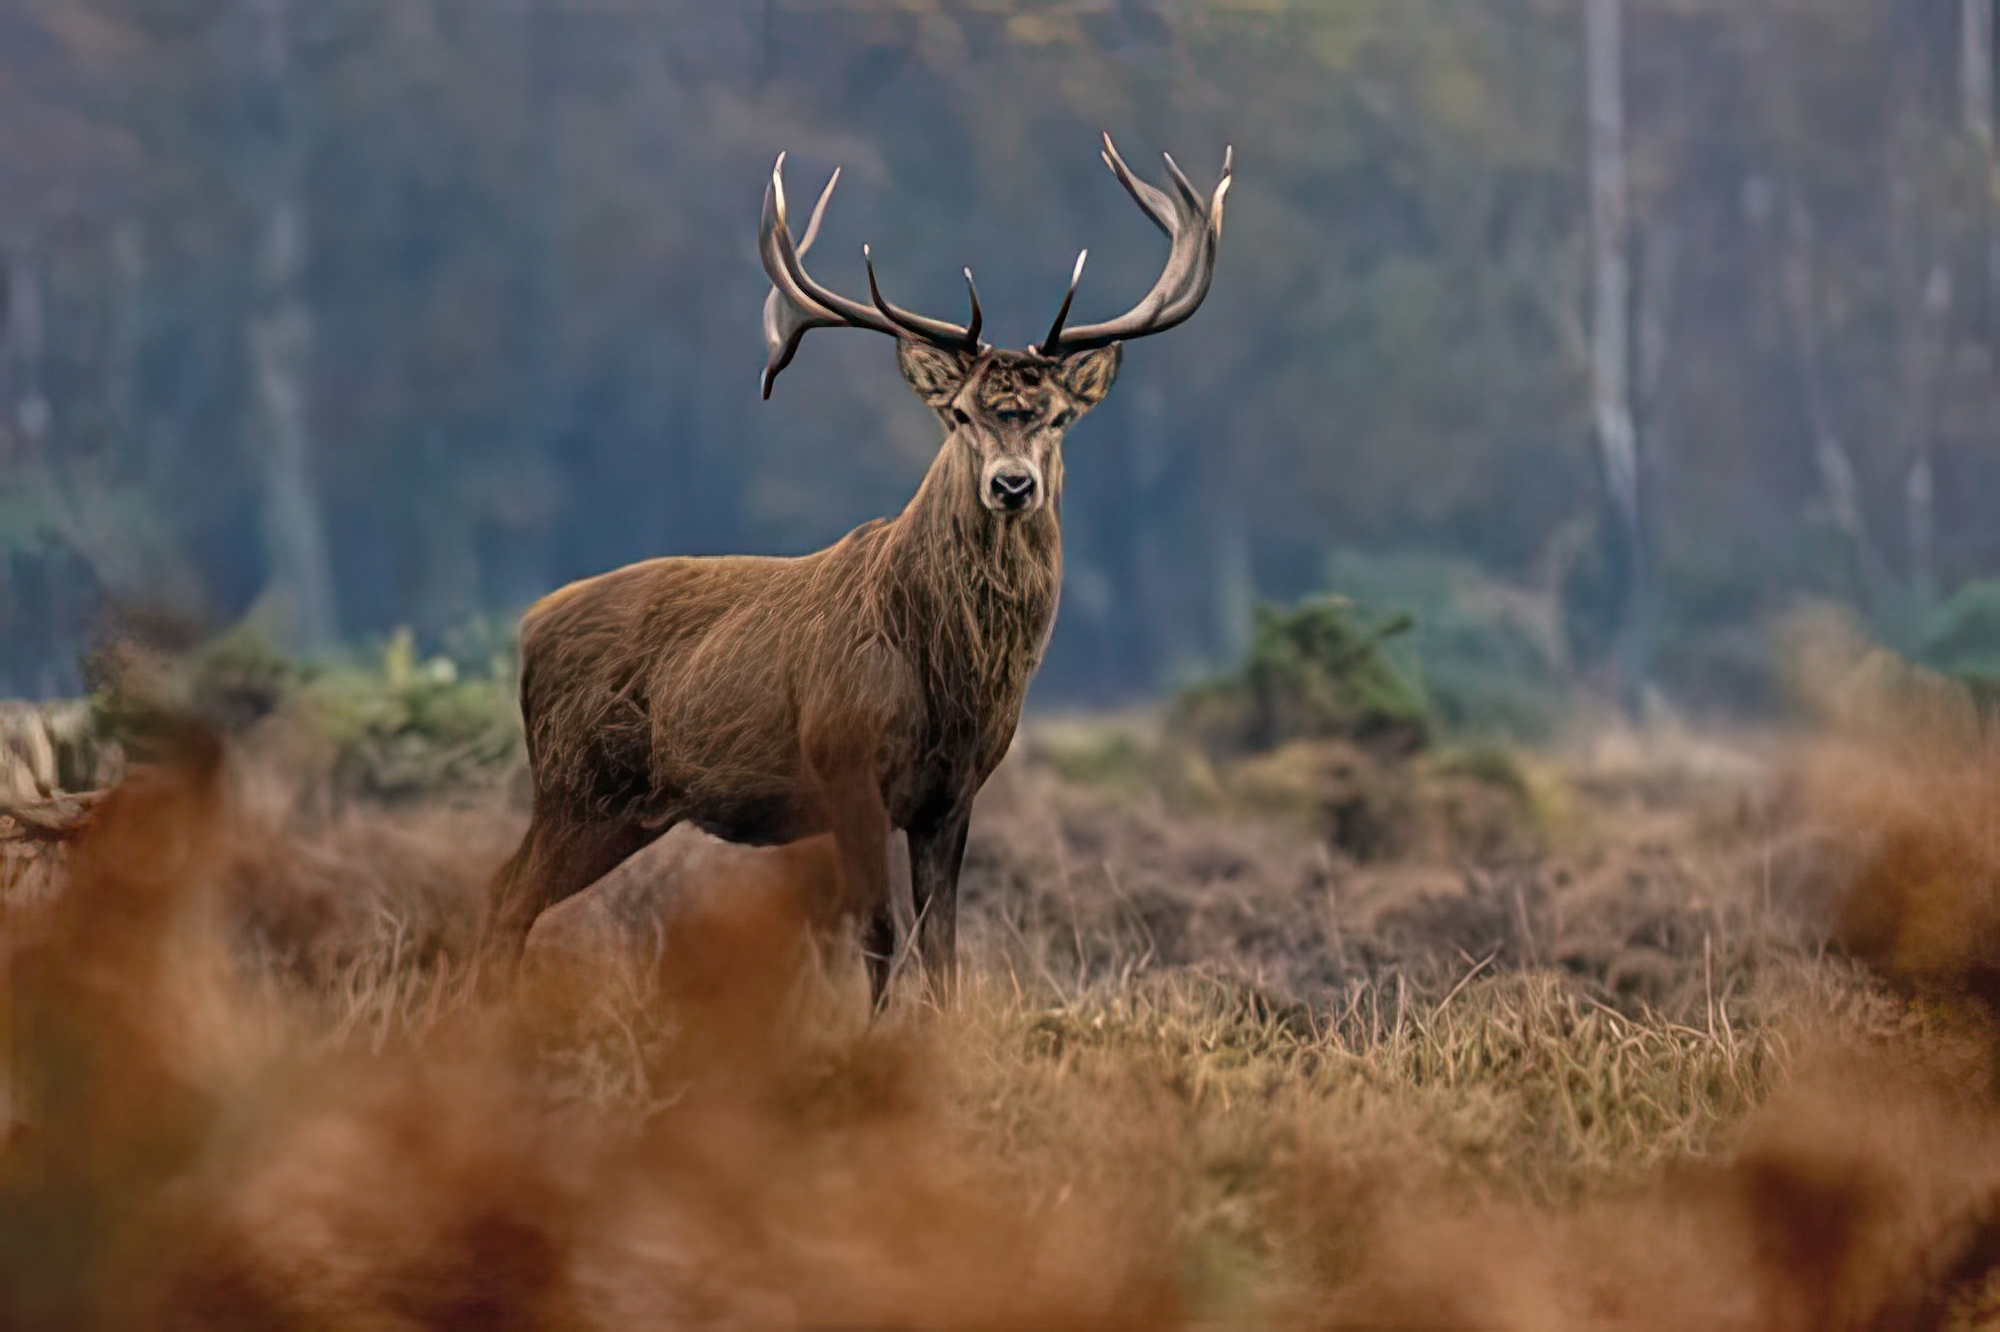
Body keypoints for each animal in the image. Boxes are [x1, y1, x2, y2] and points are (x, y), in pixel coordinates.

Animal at [482, 134, 1230, 1005]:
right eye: (960, 414)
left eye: (1057, 417)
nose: (1012, 484)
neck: (952, 684)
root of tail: (531, 628)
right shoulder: (845, 762)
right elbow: (878, 933)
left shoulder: (955, 793)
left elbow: (941, 946)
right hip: (580, 780)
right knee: (508, 898)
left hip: (624, 805)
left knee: (504, 891)